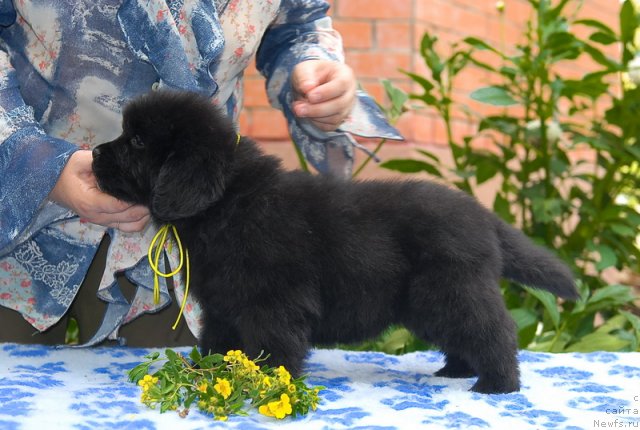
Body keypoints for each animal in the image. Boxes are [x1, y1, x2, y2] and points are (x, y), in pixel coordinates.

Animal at [92, 90, 576, 394]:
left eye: (138, 141)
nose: (93, 153)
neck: (226, 202)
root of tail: (482, 215)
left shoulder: (274, 303)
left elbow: (275, 346)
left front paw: (268, 383)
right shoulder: (224, 303)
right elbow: (218, 340)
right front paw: (207, 371)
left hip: (454, 290)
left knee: (494, 332)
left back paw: (496, 385)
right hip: (432, 303)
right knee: (463, 336)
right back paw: (454, 371)